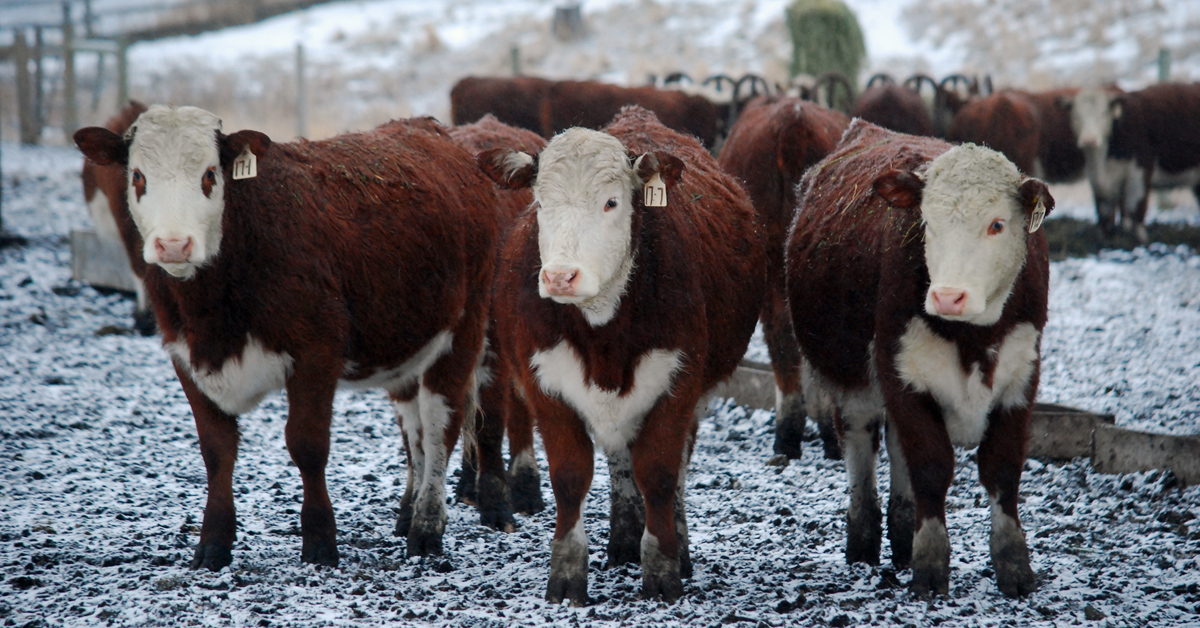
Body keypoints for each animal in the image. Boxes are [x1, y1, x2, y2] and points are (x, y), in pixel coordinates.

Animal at [475, 106, 758, 605]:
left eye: (611, 202)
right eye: (540, 203)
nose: (560, 276)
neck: (602, 331)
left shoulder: (678, 382)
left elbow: (660, 473)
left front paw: (662, 572)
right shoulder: (546, 382)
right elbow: (570, 476)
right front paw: (567, 577)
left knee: (673, 469)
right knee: (620, 460)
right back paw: (624, 540)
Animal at [787, 120, 1051, 597]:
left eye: (997, 224)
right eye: (927, 222)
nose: (947, 296)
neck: (972, 336)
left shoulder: (1021, 375)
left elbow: (1002, 470)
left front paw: (1015, 570)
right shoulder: (901, 373)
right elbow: (930, 467)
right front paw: (929, 569)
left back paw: (901, 540)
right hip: (852, 376)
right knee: (861, 440)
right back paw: (864, 543)